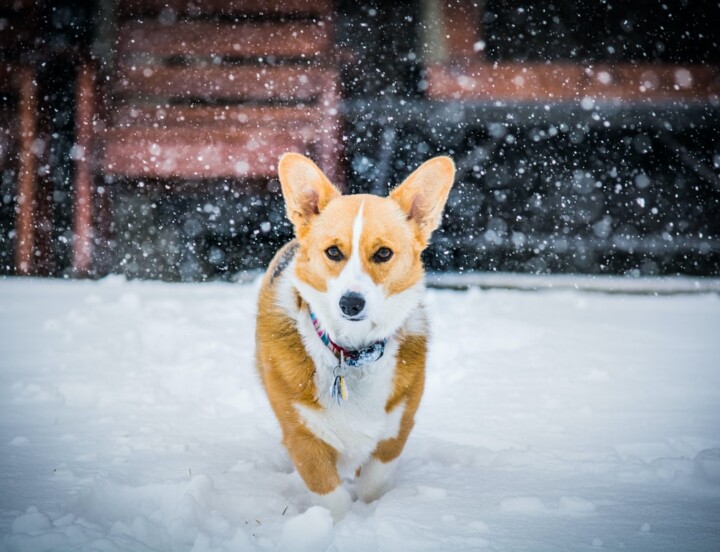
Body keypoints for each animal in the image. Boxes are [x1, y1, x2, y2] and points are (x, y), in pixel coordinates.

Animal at [256, 152, 452, 516]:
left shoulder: (394, 432)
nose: (351, 303)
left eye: (383, 253)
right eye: (333, 252)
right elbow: (332, 499)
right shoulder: (303, 437)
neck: (351, 350)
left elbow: (372, 485)